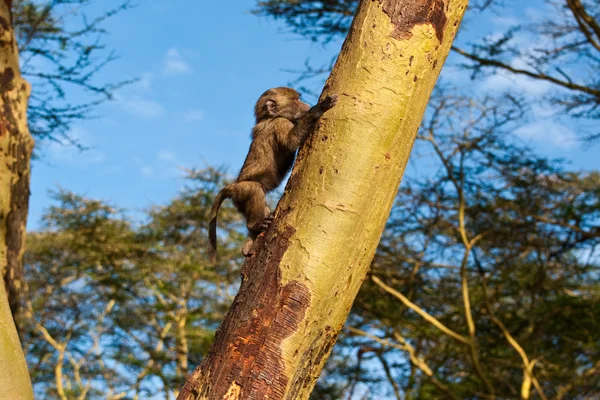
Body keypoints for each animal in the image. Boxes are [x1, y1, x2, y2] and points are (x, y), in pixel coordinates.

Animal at [207, 87, 338, 260]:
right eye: (296, 100)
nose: (307, 105)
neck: (268, 118)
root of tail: (231, 186)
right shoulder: (280, 123)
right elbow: (291, 141)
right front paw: (320, 107)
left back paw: (249, 243)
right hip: (241, 191)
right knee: (254, 188)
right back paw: (255, 225)